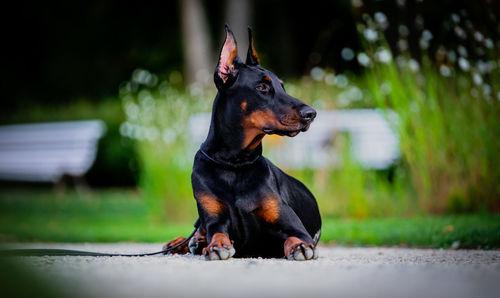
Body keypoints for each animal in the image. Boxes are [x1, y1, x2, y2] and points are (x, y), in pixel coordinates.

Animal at [164, 25, 320, 260]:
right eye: (262, 87)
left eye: (282, 86)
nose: (311, 114)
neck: (234, 164)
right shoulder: (215, 219)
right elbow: (217, 233)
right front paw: (216, 245)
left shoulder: (293, 225)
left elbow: (295, 237)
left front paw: (299, 246)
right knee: (196, 231)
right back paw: (186, 242)